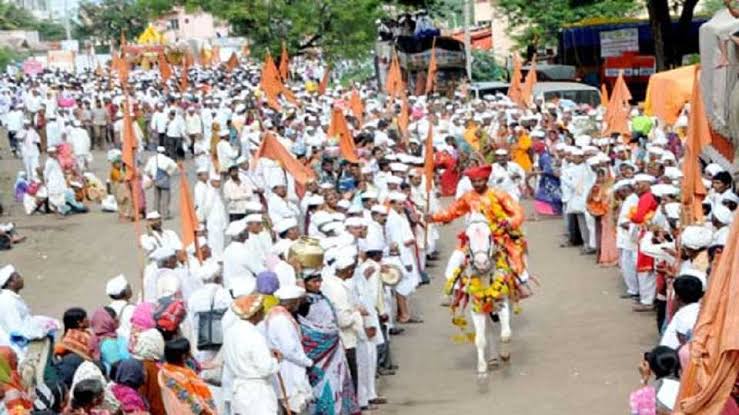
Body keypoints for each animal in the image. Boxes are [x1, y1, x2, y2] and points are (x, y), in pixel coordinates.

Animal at [446, 214, 516, 376]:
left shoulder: (501, 301)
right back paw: (493, 359)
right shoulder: (477, 308)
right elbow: (480, 339)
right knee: (489, 329)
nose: (482, 263)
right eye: (468, 237)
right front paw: (482, 367)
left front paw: (505, 354)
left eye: (489, 236)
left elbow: (505, 334)